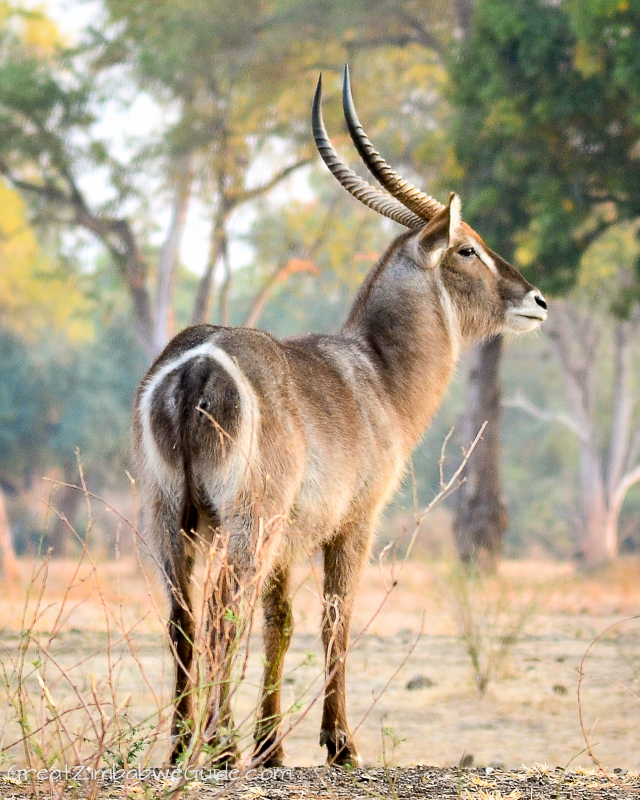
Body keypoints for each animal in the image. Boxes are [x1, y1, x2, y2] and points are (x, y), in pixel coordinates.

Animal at [132, 65, 548, 764]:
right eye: (467, 248)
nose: (537, 300)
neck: (378, 373)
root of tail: (197, 362)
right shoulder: (355, 521)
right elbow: (335, 619)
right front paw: (337, 743)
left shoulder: (290, 539)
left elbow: (280, 623)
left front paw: (271, 748)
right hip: (247, 520)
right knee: (220, 613)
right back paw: (217, 746)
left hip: (173, 515)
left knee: (183, 618)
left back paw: (183, 746)